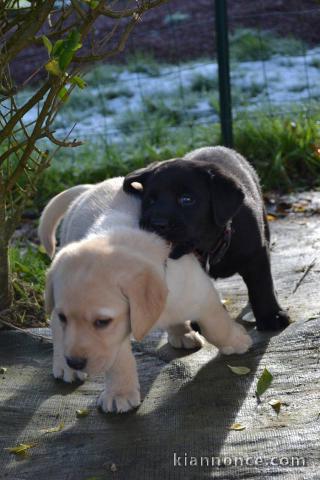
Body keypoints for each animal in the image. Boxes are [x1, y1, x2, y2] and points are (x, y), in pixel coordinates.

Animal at [38, 177, 251, 412]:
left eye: (102, 322)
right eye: (65, 317)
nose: (74, 361)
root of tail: (92, 187)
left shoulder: (201, 294)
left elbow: (217, 325)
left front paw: (237, 340)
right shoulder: (118, 332)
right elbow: (119, 360)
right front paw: (119, 393)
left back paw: (181, 332)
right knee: (54, 326)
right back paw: (63, 366)